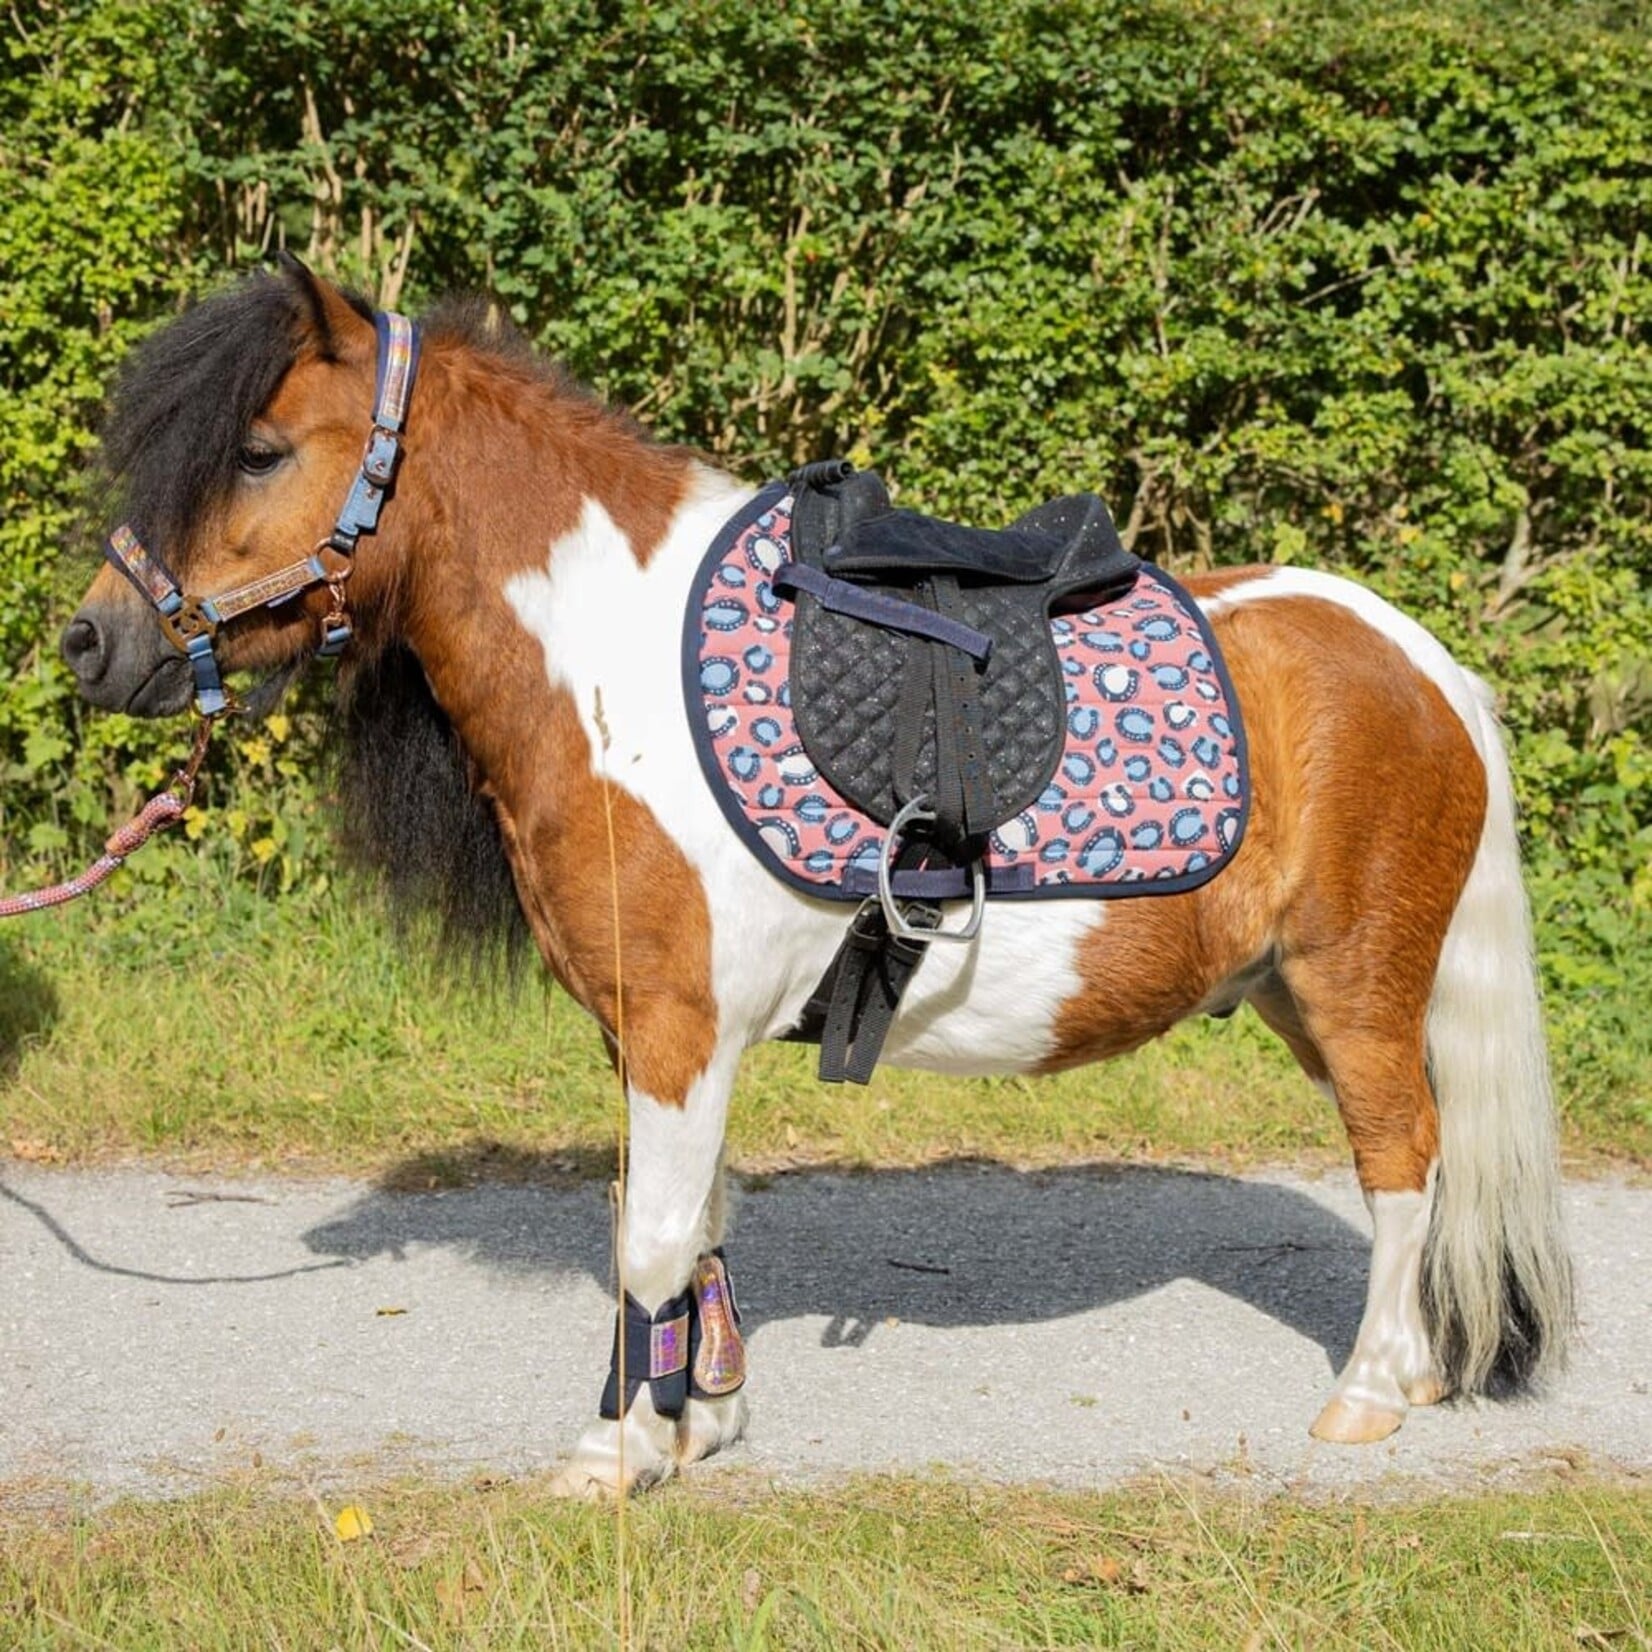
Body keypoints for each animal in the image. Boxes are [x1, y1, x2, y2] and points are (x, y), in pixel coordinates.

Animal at [62, 261, 1573, 1496]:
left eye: (259, 452)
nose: (90, 642)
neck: (616, 666)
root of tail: (1419, 660)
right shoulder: (652, 1037)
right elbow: (689, 1223)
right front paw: (697, 1421)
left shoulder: (679, 1029)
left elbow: (652, 1238)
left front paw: (617, 1454)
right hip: (1295, 995)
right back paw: (1417, 1369)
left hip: (1354, 987)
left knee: (1403, 1160)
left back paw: (1367, 1395)